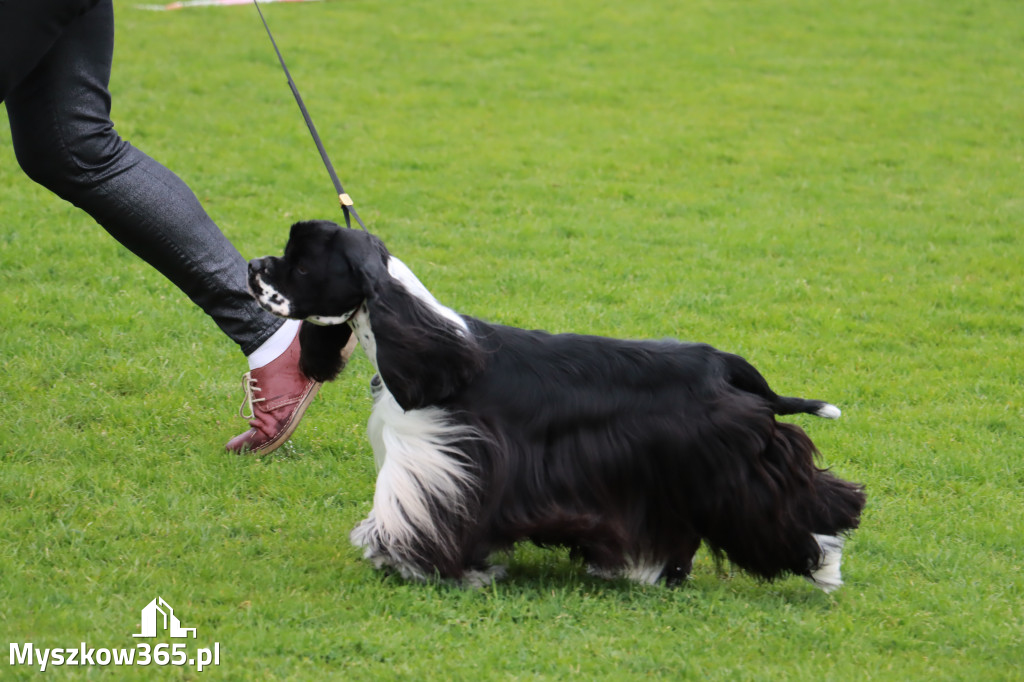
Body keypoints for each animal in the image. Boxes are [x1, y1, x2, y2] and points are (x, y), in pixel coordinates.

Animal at [247, 219, 864, 589]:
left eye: (300, 265)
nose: (253, 267)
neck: (429, 349)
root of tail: (721, 363)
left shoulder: (440, 457)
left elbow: (412, 516)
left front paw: (402, 560)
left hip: (730, 473)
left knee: (801, 509)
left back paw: (824, 565)